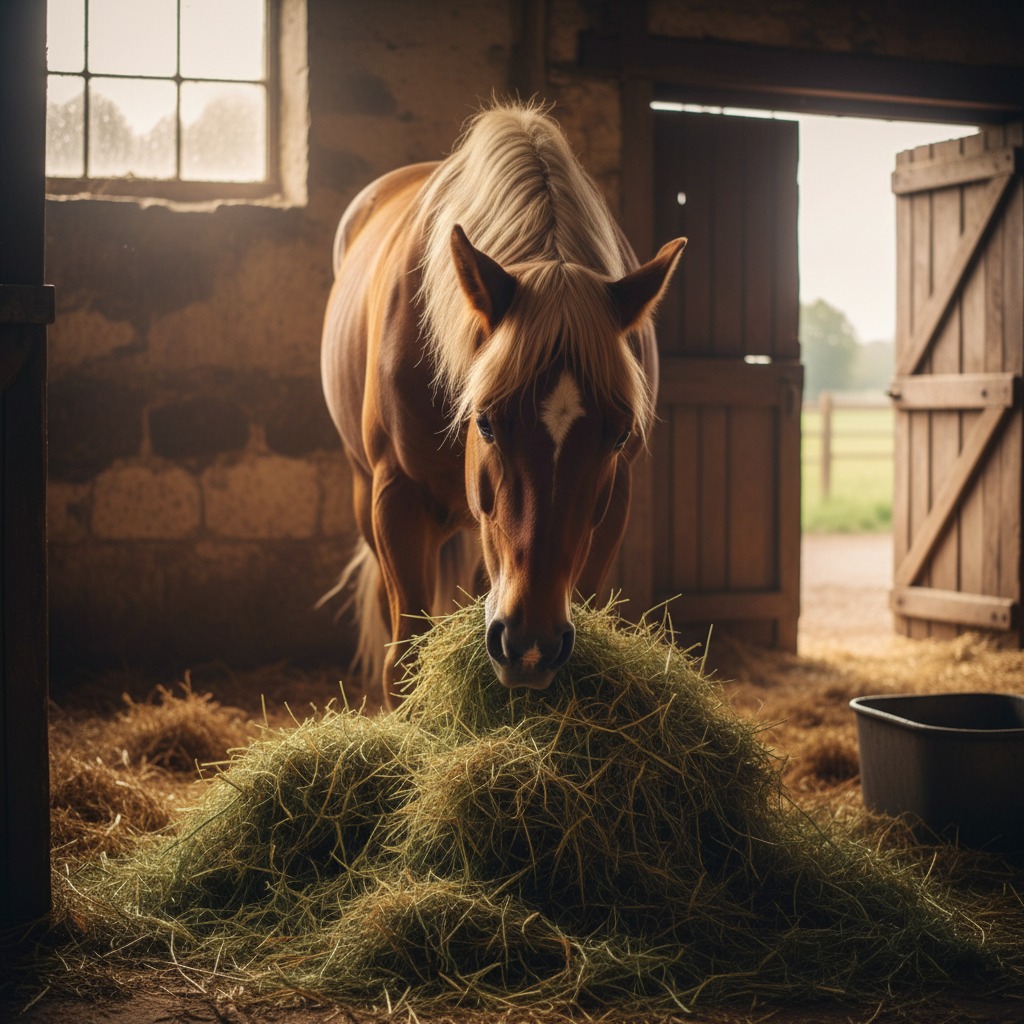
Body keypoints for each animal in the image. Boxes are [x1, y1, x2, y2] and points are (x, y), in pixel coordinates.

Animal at [320, 103, 685, 709]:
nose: (530, 644)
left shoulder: (613, 506)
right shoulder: (396, 498)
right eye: (486, 422)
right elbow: (404, 661)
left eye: (617, 435)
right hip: (364, 492)